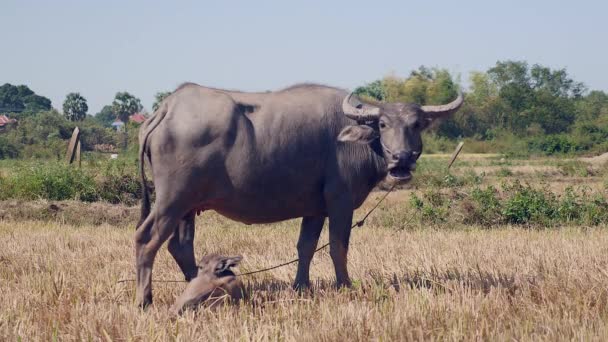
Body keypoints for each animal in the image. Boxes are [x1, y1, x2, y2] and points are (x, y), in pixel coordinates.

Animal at [135, 83, 464, 308]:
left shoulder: (315, 209)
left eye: (416, 125)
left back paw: (201, 288)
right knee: (146, 239)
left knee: (180, 245)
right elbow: (338, 246)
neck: (353, 140)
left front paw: (301, 287)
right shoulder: (340, 201)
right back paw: (145, 300)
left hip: (188, 206)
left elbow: (306, 246)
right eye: (383, 124)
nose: (402, 159)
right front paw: (345, 286)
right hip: (172, 199)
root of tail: (167, 109)